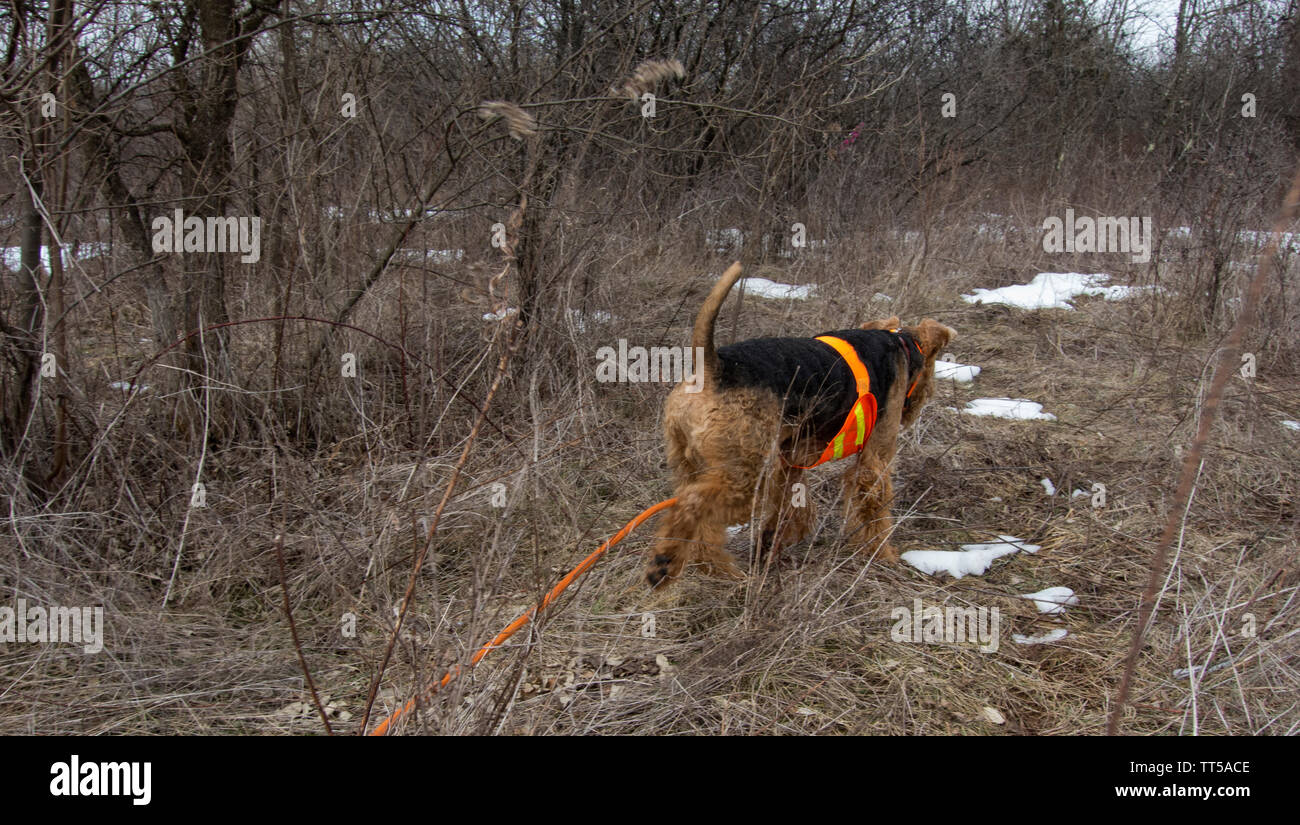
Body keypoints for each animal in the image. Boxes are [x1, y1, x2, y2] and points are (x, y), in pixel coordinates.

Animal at [642, 261, 956, 589]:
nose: (921, 401)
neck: (902, 345)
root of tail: (714, 367)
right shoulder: (875, 459)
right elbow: (875, 510)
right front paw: (881, 554)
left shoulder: (790, 458)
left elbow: (791, 505)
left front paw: (776, 539)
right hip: (741, 476)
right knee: (691, 505)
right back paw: (664, 564)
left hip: (690, 463)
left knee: (700, 523)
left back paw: (719, 570)